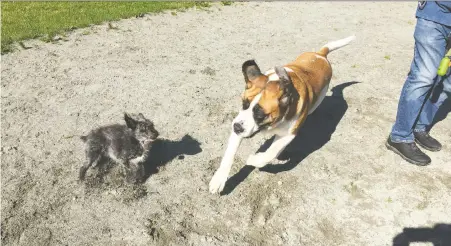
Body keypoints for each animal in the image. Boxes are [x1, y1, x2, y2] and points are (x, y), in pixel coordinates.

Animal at [209, 35, 356, 194]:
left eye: (260, 114)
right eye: (244, 104)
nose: (236, 127)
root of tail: (321, 55)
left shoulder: (288, 134)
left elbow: (270, 153)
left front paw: (253, 159)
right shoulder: (241, 122)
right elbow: (229, 155)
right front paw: (219, 179)